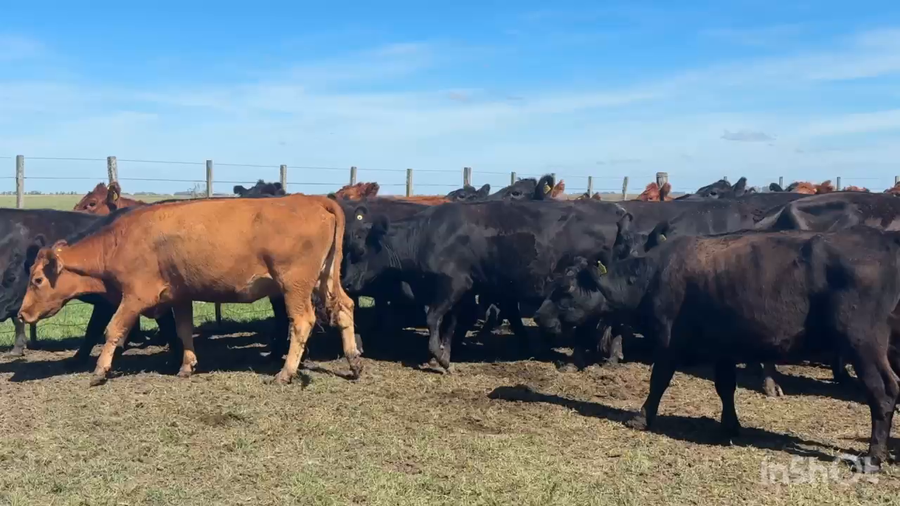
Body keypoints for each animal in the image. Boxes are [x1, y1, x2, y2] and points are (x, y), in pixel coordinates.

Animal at [18, 195, 361, 387]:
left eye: (37, 280)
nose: (22, 313)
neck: (121, 240)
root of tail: (312, 199)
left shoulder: (135, 297)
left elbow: (113, 330)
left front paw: (100, 371)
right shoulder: (180, 295)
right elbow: (183, 330)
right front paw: (187, 366)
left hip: (294, 284)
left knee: (302, 321)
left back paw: (286, 373)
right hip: (325, 277)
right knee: (345, 307)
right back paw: (353, 361)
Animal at [547, 215, 900, 469]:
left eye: (565, 289)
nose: (539, 315)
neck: (654, 275)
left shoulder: (669, 342)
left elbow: (658, 381)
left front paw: (641, 417)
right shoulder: (723, 347)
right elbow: (725, 387)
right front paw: (729, 425)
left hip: (863, 344)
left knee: (881, 393)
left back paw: (872, 458)